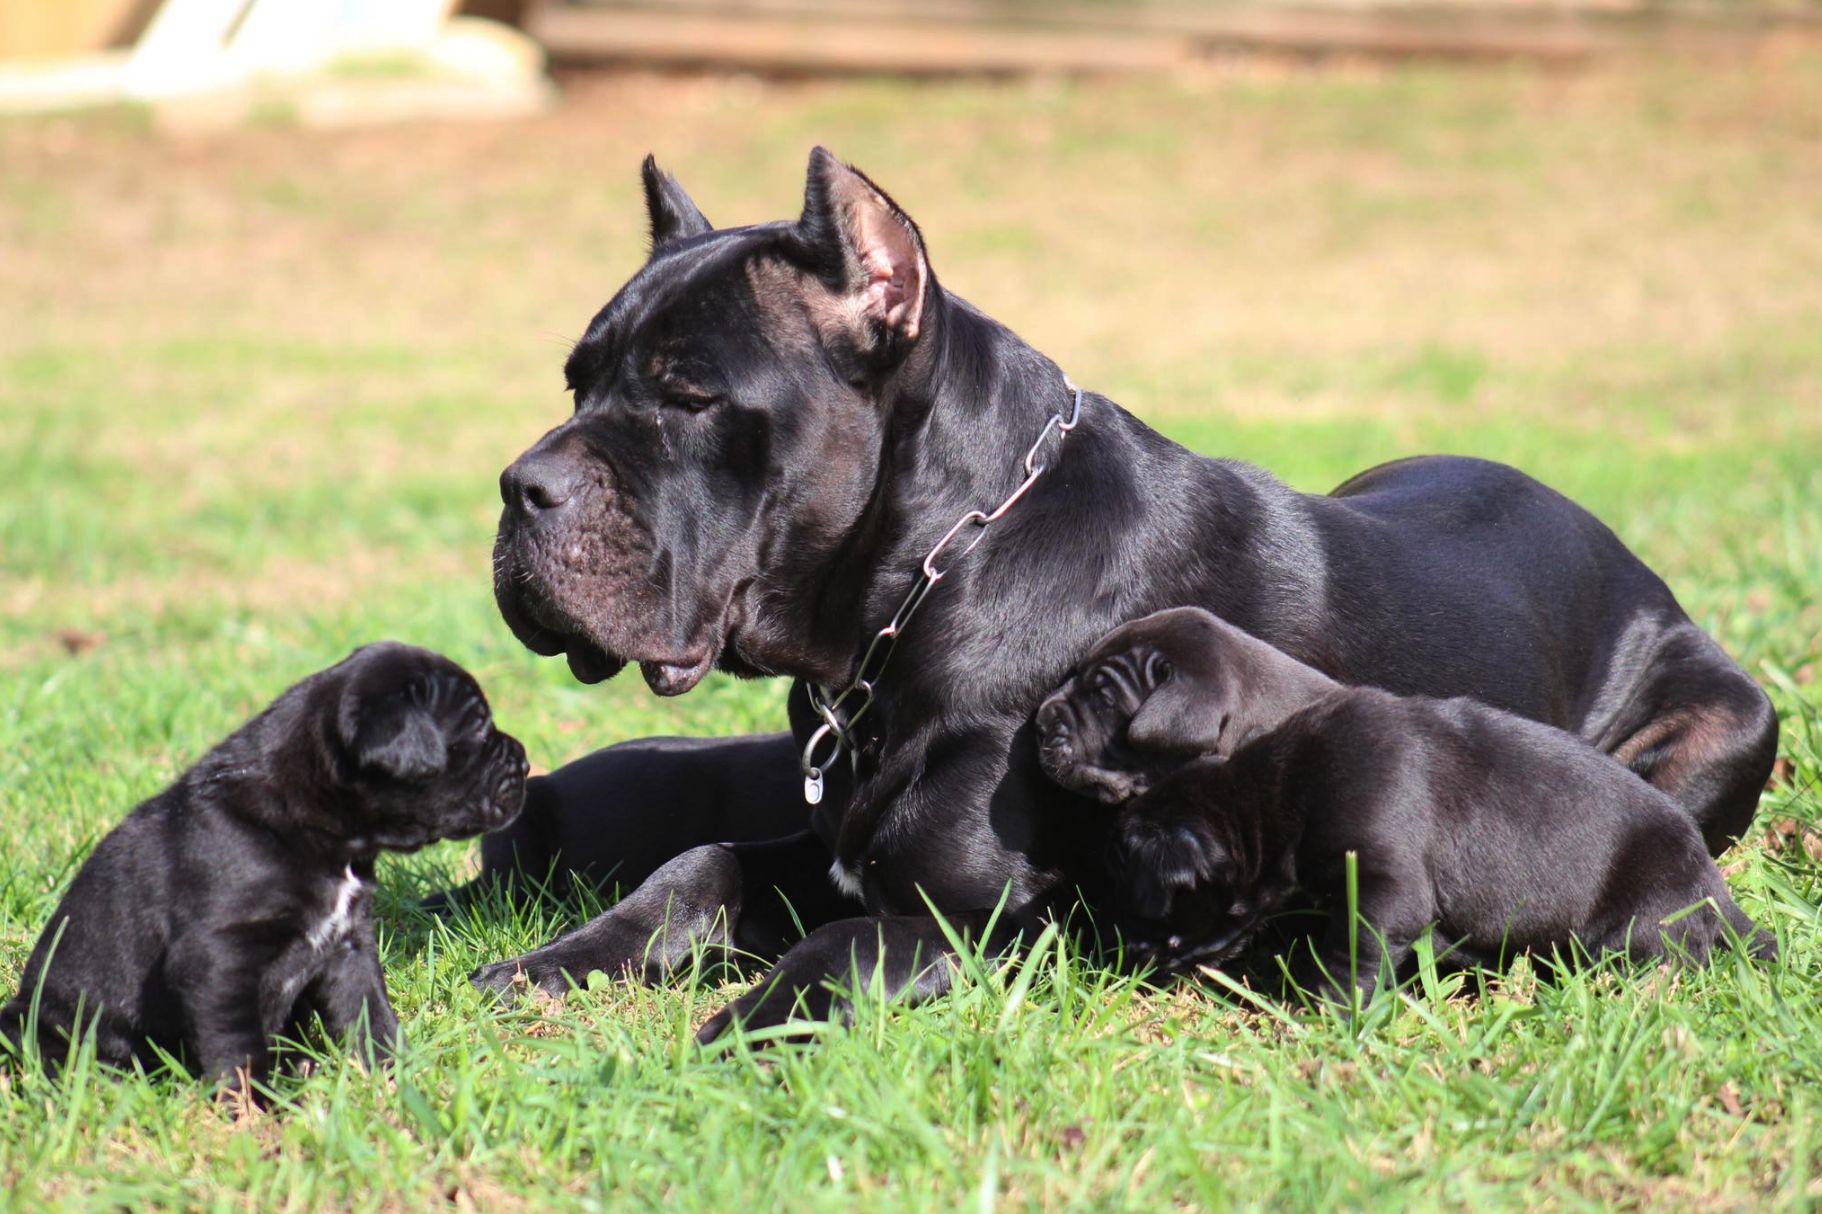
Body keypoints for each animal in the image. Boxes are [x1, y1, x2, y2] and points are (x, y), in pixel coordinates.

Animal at [0, 641, 528, 1086]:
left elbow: (369, 1014)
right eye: (478, 728)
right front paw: (255, 1106)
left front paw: (395, 1075)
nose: (524, 761)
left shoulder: (348, 947)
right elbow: (235, 1044)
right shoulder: (218, 957)